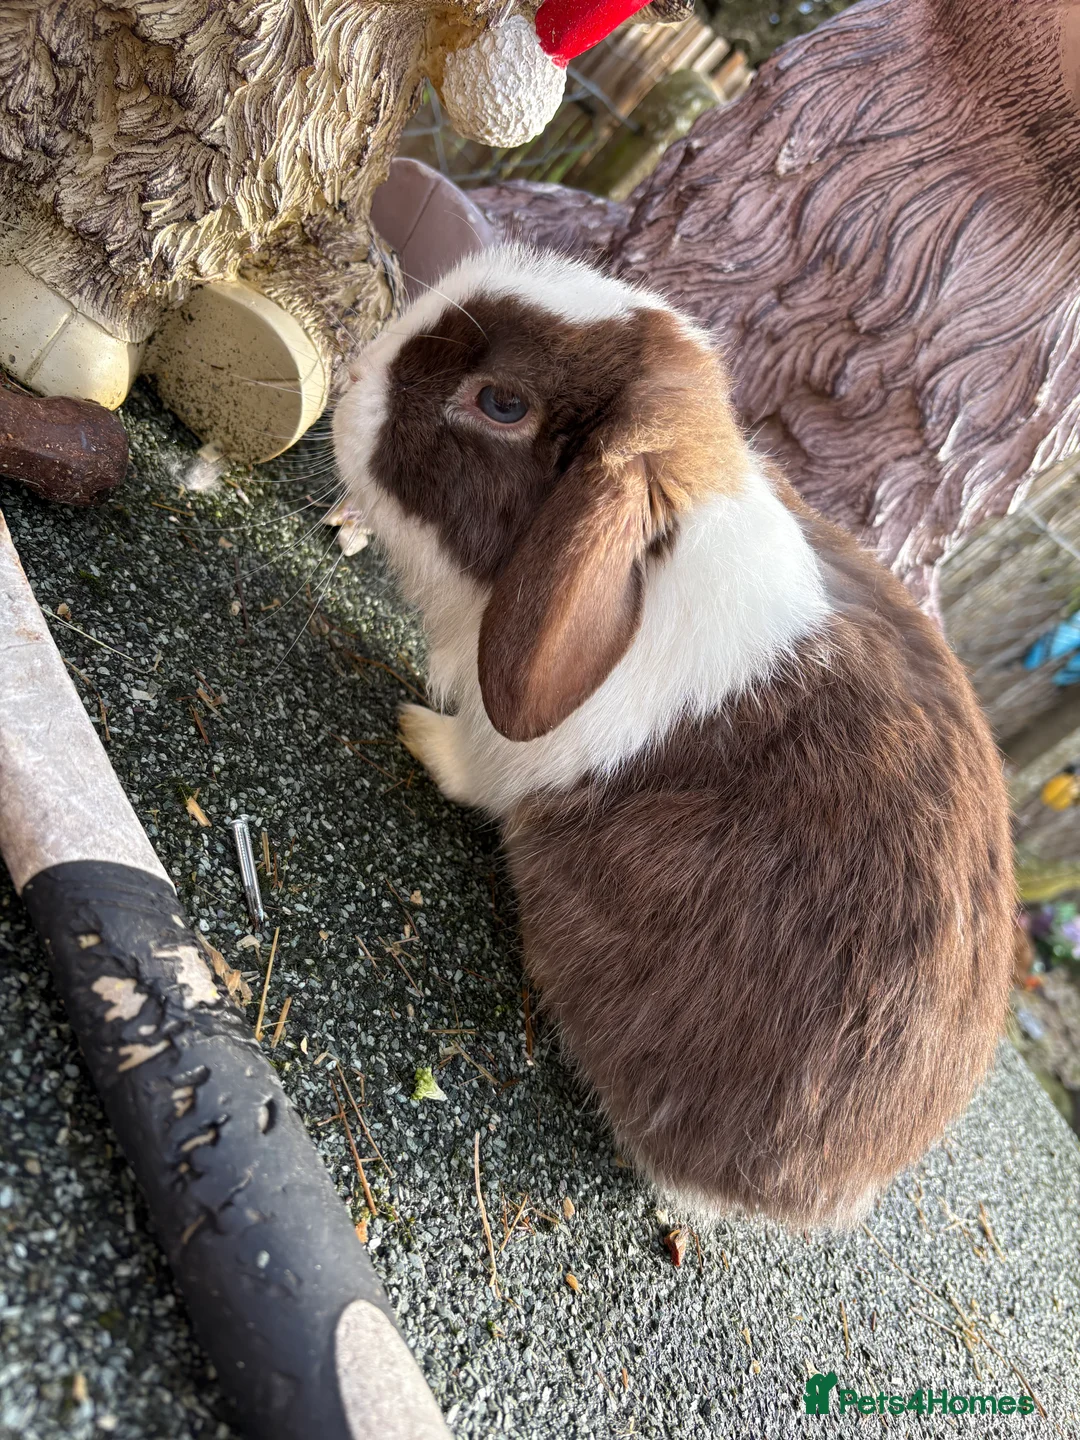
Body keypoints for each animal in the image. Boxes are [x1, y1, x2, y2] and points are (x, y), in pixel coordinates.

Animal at [332, 243, 1014, 1229]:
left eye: (501, 403)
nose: (351, 381)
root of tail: (836, 1184)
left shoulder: (510, 754)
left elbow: (473, 766)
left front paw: (418, 730)